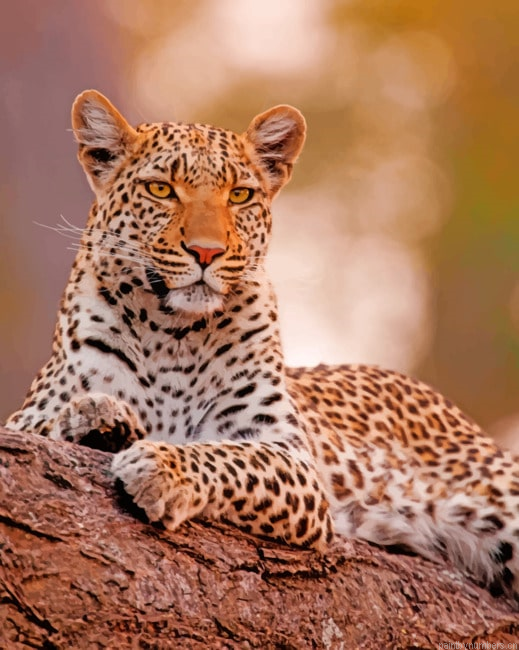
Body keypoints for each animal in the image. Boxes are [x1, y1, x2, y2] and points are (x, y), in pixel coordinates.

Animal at [6, 89, 519, 599]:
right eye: (161, 190)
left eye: (240, 196)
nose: (207, 252)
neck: (172, 333)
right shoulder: (27, 413)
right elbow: (44, 421)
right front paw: (95, 417)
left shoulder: (292, 458)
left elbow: (230, 457)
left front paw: (162, 466)